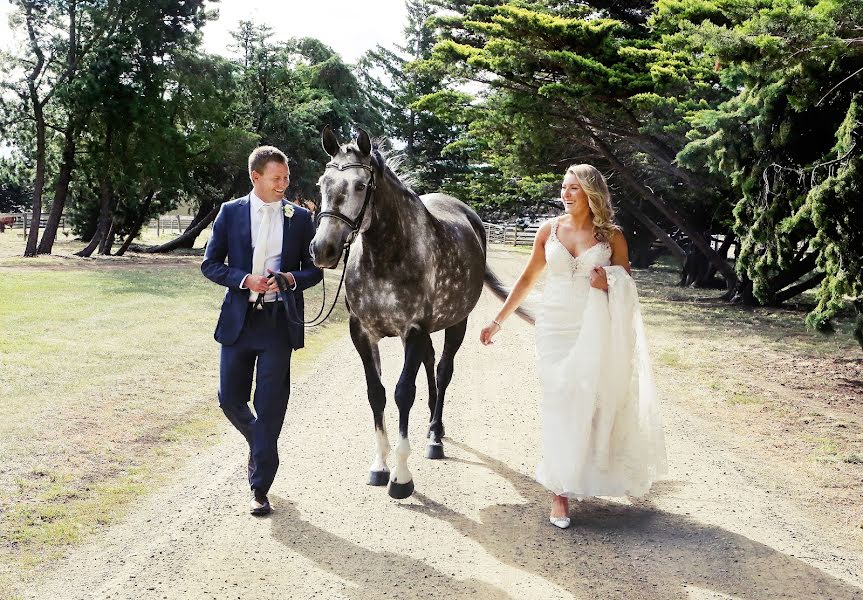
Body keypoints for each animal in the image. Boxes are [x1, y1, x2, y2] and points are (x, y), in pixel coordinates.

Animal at [310, 127, 512, 502]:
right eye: (322, 183)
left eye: (361, 185)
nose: (323, 250)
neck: (387, 256)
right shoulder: (362, 333)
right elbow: (376, 393)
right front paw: (379, 466)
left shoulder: (413, 331)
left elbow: (403, 392)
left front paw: (401, 477)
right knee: (431, 363)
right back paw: (435, 423)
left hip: (456, 323)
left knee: (444, 370)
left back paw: (434, 435)